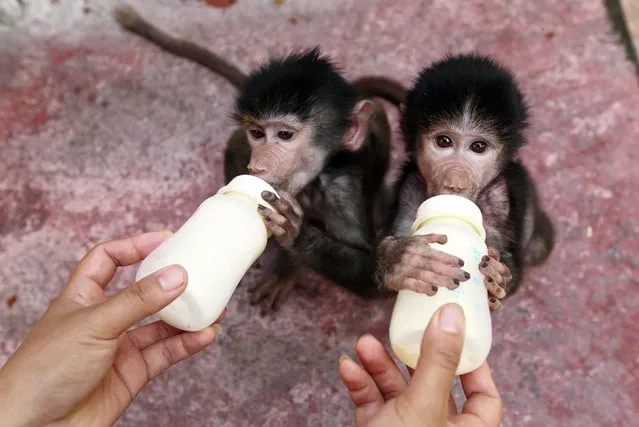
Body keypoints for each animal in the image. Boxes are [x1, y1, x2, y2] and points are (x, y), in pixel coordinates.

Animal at [114, 5, 402, 314]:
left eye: (285, 135)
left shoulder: (342, 189)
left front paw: (296, 238)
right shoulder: (243, 150)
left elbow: (373, 277)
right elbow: (232, 152)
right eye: (257, 133)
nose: (259, 165)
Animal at [378, 54, 552, 314]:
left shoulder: (500, 198)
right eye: (444, 141)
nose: (455, 184)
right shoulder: (409, 189)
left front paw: (498, 278)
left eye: (478, 147)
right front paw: (399, 259)